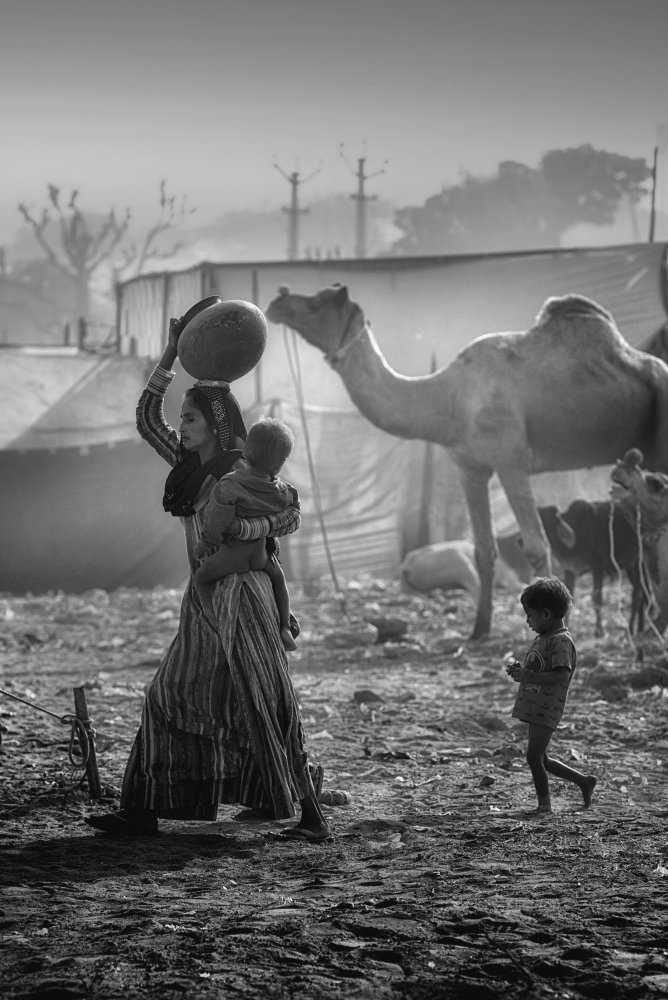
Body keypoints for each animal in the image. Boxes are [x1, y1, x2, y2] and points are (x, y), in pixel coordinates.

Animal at [264, 286, 668, 636]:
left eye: (317, 303)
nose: (278, 300)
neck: (450, 398)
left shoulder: (511, 461)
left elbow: (537, 547)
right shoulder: (470, 466)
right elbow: (483, 550)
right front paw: (479, 630)